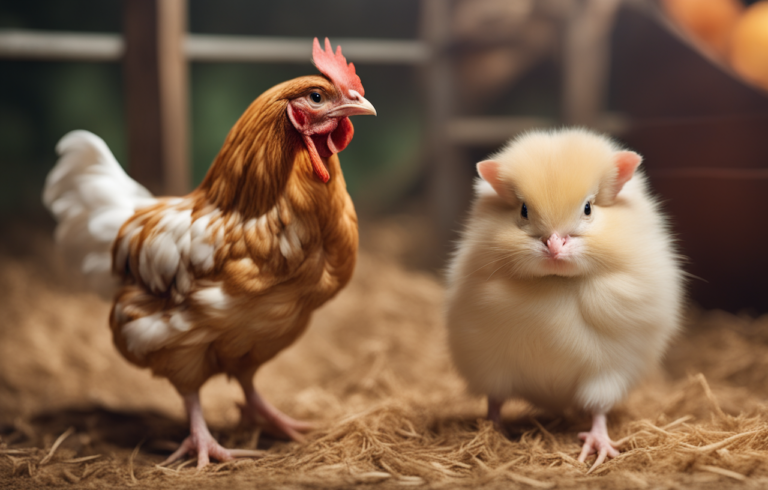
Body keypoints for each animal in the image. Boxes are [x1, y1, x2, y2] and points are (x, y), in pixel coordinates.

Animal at [445, 128, 684, 471]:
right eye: (523, 210)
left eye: (588, 209)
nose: (554, 246)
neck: (557, 281)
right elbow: (494, 400)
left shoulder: (610, 369)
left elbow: (598, 411)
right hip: (491, 370)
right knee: (496, 400)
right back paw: (494, 429)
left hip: (605, 379)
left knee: (597, 411)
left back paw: (598, 448)